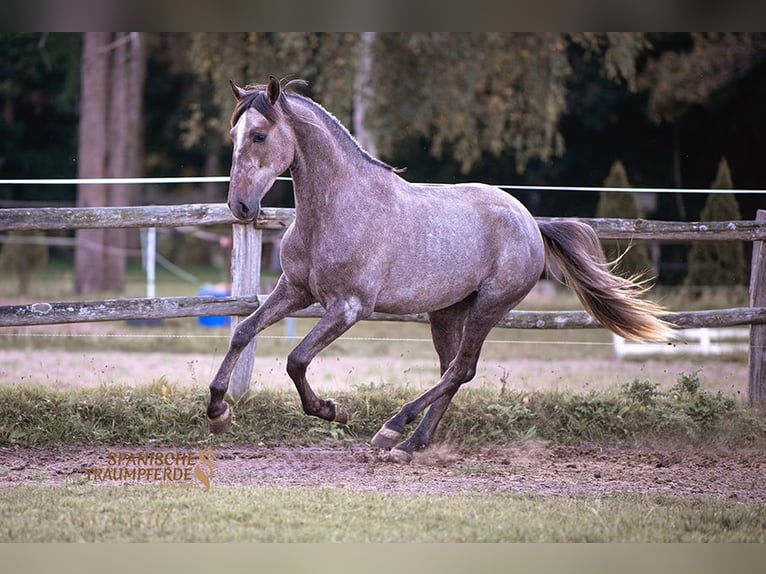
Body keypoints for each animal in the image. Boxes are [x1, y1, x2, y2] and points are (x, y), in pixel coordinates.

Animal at [206, 76, 672, 462]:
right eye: (233, 135)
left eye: (260, 135)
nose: (240, 206)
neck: (337, 210)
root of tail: (530, 222)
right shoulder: (293, 290)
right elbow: (244, 331)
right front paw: (217, 410)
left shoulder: (348, 307)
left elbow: (297, 359)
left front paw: (331, 410)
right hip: (448, 313)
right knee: (454, 372)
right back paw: (411, 444)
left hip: (488, 306)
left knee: (461, 370)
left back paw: (393, 430)